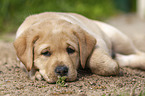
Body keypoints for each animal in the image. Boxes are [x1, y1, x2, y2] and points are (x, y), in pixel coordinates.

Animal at [13, 12, 145, 83]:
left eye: (70, 50)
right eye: (45, 53)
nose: (62, 71)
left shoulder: (99, 40)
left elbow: (96, 60)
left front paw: (113, 65)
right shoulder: (21, 61)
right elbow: (27, 67)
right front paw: (36, 74)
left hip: (119, 39)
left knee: (138, 53)